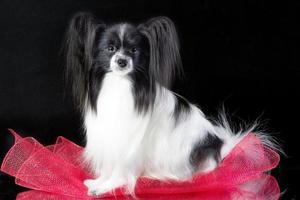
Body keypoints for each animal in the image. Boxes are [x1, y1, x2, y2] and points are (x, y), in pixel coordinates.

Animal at [62, 12, 276, 197]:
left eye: (134, 51)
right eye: (110, 49)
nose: (122, 61)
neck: (121, 83)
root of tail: (221, 145)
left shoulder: (129, 144)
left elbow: (120, 171)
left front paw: (106, 187)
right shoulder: (110, 137)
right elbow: (109, 165)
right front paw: (99, 182)